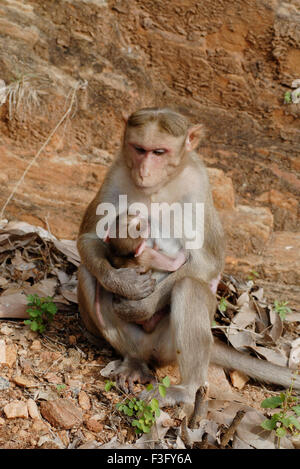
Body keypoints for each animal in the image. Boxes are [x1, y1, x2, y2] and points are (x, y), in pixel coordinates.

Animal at [77, 107, 300, 414]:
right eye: (139, 149)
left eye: (159, 152)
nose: (145, 171)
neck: (161, 185)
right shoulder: (116, 171)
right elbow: (88, 239)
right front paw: (122, 283)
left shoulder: (198, 183)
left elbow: (206, 262)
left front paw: (140, 306)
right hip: (139, 342)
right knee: (88, 272)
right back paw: (136, 362)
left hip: (167, 346)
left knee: (189, 287)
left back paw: (187, 387)